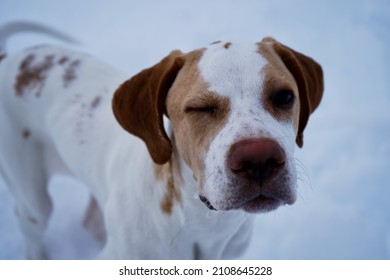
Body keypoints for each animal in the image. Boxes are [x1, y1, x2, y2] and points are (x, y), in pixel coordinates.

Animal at [0, 23, 322, 260]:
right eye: (200, 108)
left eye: (284, 97)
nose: (259, 158)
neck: (204, 224)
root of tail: (10, 59)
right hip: (31, 194)